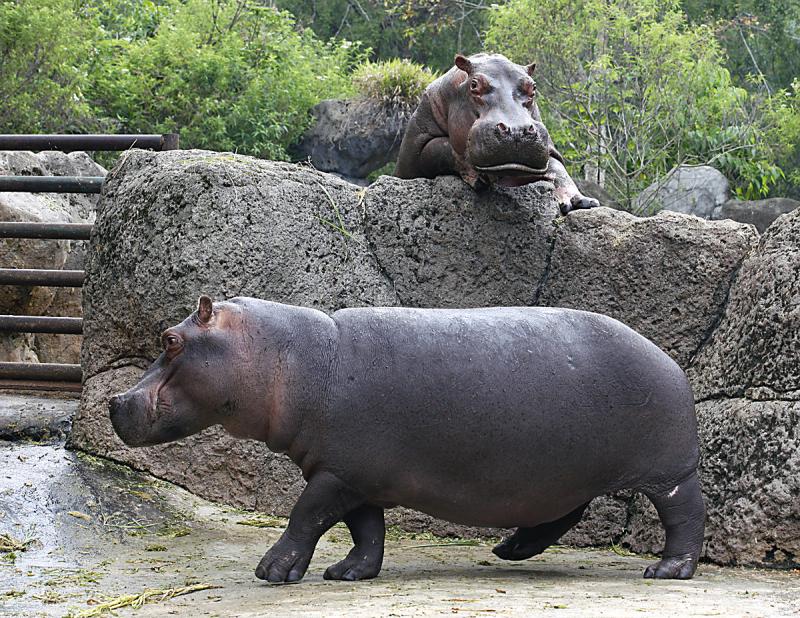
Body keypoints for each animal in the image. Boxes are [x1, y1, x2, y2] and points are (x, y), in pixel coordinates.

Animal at [109, 296, 704, 580]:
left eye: (170, 339)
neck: (295, 358)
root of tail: (672, 361)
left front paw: (271, 571)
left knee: (684, 515)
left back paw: (666, 570)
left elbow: (305, 517)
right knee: (565, 512)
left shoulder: (335, 475)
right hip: (561, 473)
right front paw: (347, 573)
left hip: (669, 469)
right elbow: (364, 530)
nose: (114, 400)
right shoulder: (353, 474)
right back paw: (510, 549)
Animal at [396, 53, 596, 217]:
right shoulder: (419, 147)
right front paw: (479, 178)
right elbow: (442, 148)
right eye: (474, 84)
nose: (517, 131)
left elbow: (557, 168)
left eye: (533, 87)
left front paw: (581, 202)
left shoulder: (549, 150)